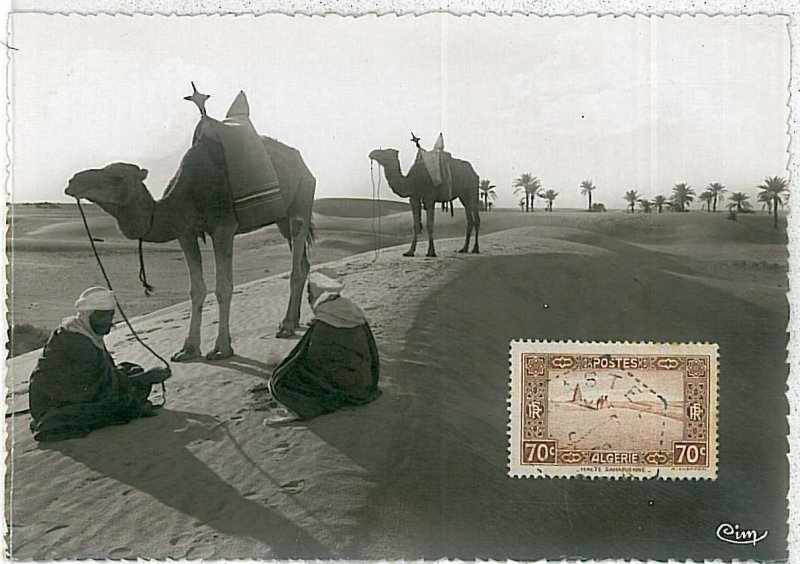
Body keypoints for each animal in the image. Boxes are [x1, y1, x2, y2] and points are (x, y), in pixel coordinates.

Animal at [65, 133, 316, 362]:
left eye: (116, 177)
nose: (72, 182)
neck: (185, 196)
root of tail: (303, 164)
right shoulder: (185, 233)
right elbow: (196, 290)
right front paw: (188, 349)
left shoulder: (223, 227)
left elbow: (223, 287)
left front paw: (221, 349)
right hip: (282, 218)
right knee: (303, 262)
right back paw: (293, 321)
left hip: (302, 200)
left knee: (296, 260)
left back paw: (286, 326)